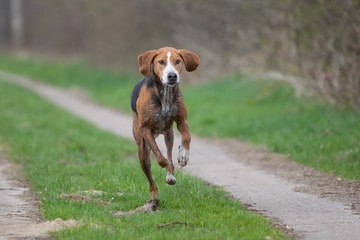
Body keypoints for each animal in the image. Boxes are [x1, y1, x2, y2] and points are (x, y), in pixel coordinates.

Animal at [131, 46, 200, 202]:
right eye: (161, 62)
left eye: (178, 61)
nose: (172, 76)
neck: (166, 93)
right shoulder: (145, 128)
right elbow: (158, 155)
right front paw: (165, 162)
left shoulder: (182, 121)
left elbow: (186, 138)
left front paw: (183, 155)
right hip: (142, 151)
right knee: (150, 175)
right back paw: (154, 195)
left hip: (169, 134)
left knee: (169, 152)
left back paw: (170, 175)